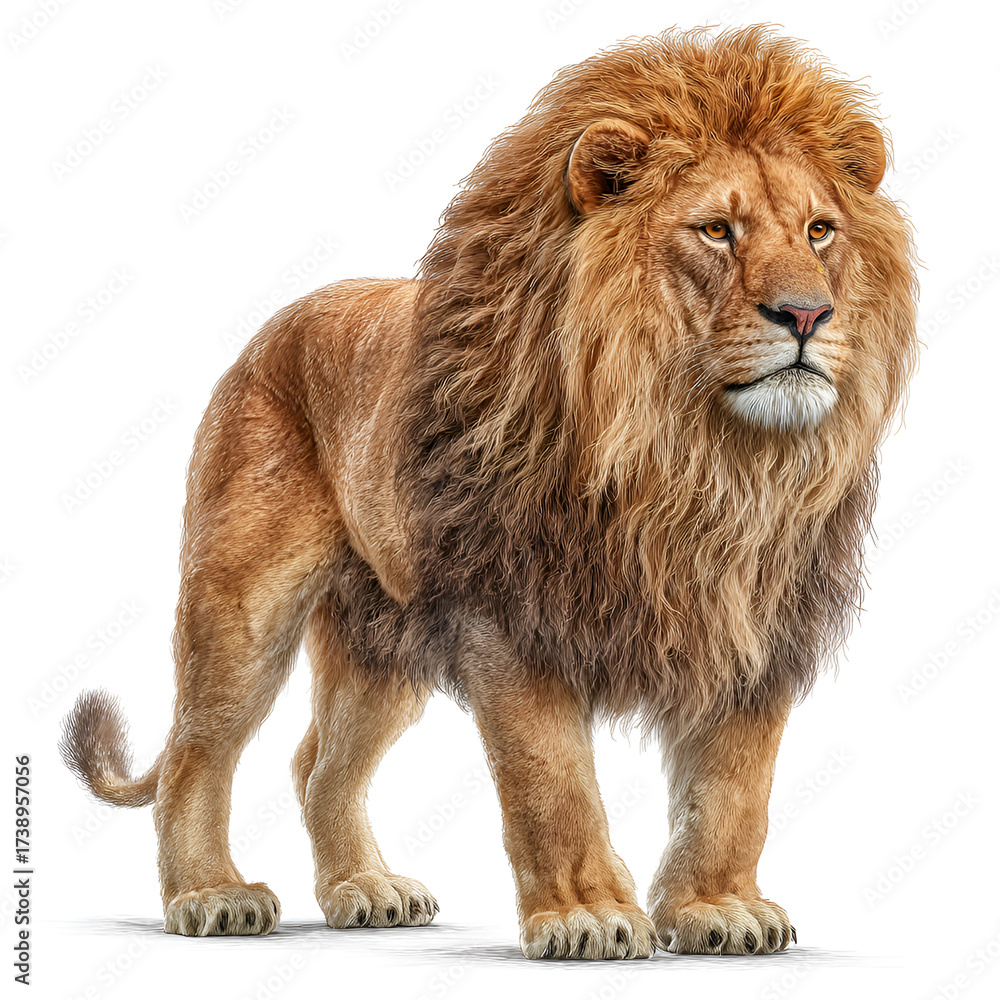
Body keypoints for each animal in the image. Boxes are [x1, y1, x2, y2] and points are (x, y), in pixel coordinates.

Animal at [60, 25, 918, 959]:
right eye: (717, 232)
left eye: (821, 231)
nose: (807, 315)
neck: (694, 459)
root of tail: (276, 325)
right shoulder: (510, 615)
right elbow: (553, 781)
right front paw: (587, 915)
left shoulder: (756, 622)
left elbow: (735, 789)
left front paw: (716, 908)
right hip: (242, 601)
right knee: (197, 751)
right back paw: (210, 895)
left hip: (382, 632)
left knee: (319, 763)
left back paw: (366, 889)